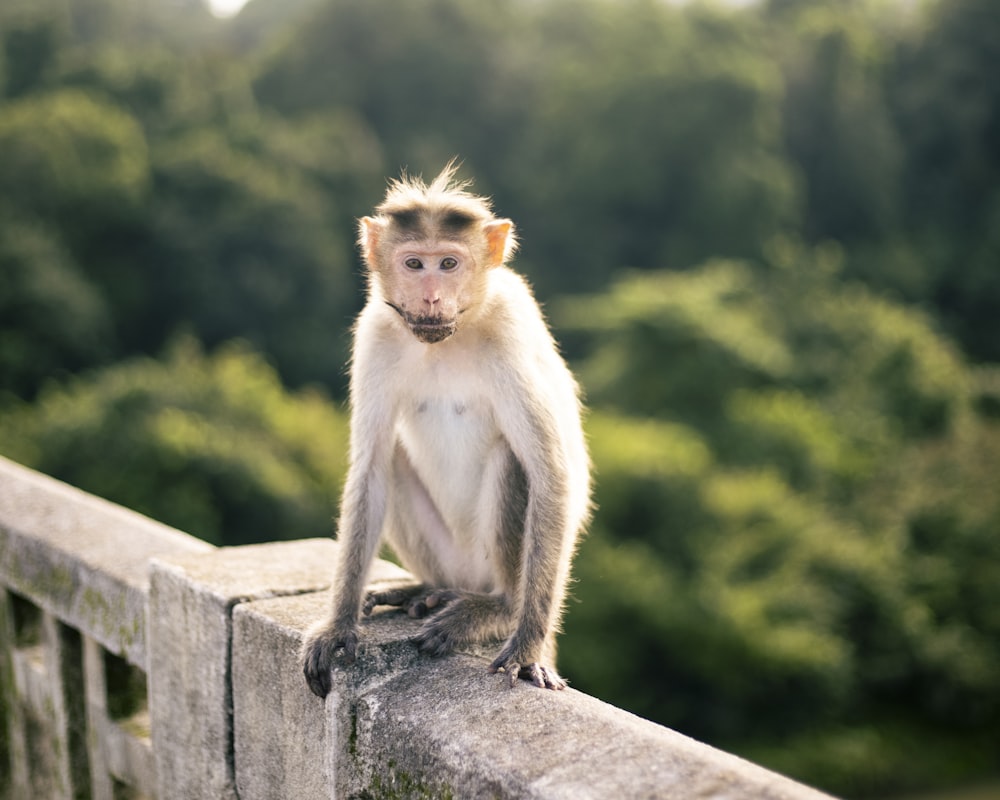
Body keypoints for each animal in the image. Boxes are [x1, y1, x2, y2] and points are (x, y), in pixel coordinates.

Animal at [300, 159, 588, 696]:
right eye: (415, 264)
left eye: (449, 264)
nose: (432, 297)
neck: (447, 338)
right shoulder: (375, 333)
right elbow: (370, 468)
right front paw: (338, 624)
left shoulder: (509, 330)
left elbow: (550, 474)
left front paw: (526, 646)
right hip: (449, 556)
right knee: (393, 458)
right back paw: (428, 591)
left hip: (488, 562)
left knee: (512, 459)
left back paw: (498, 611)